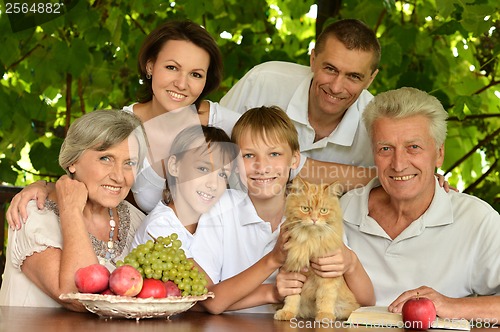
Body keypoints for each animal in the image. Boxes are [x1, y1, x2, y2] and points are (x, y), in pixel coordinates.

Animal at [274, 178, 360, 320]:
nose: (314, 219)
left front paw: (325, 315)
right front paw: (287, 312)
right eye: (305, 209)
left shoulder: (328, 275)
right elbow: (292, 297)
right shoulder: (294, 272)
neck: (310, 241)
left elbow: (325, 297)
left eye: (323, 210)